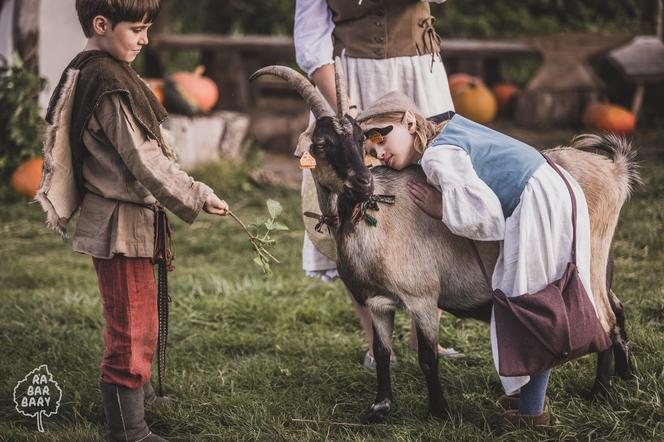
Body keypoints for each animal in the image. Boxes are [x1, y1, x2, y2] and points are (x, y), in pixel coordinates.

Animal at [250, 63, 640, 422]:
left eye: (363, 140)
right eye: (322, 143)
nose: (364, 183)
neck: (374, 218)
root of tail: (614, 171)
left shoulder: (421, 297)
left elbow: (428, 357)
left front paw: (438, 411)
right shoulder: (378, 303)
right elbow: (382, 352)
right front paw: (381, 406)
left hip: (587, 257)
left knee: (604, 317)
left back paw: (599, 390)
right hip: (600, 261)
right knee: (616, 307)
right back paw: (625, 375)